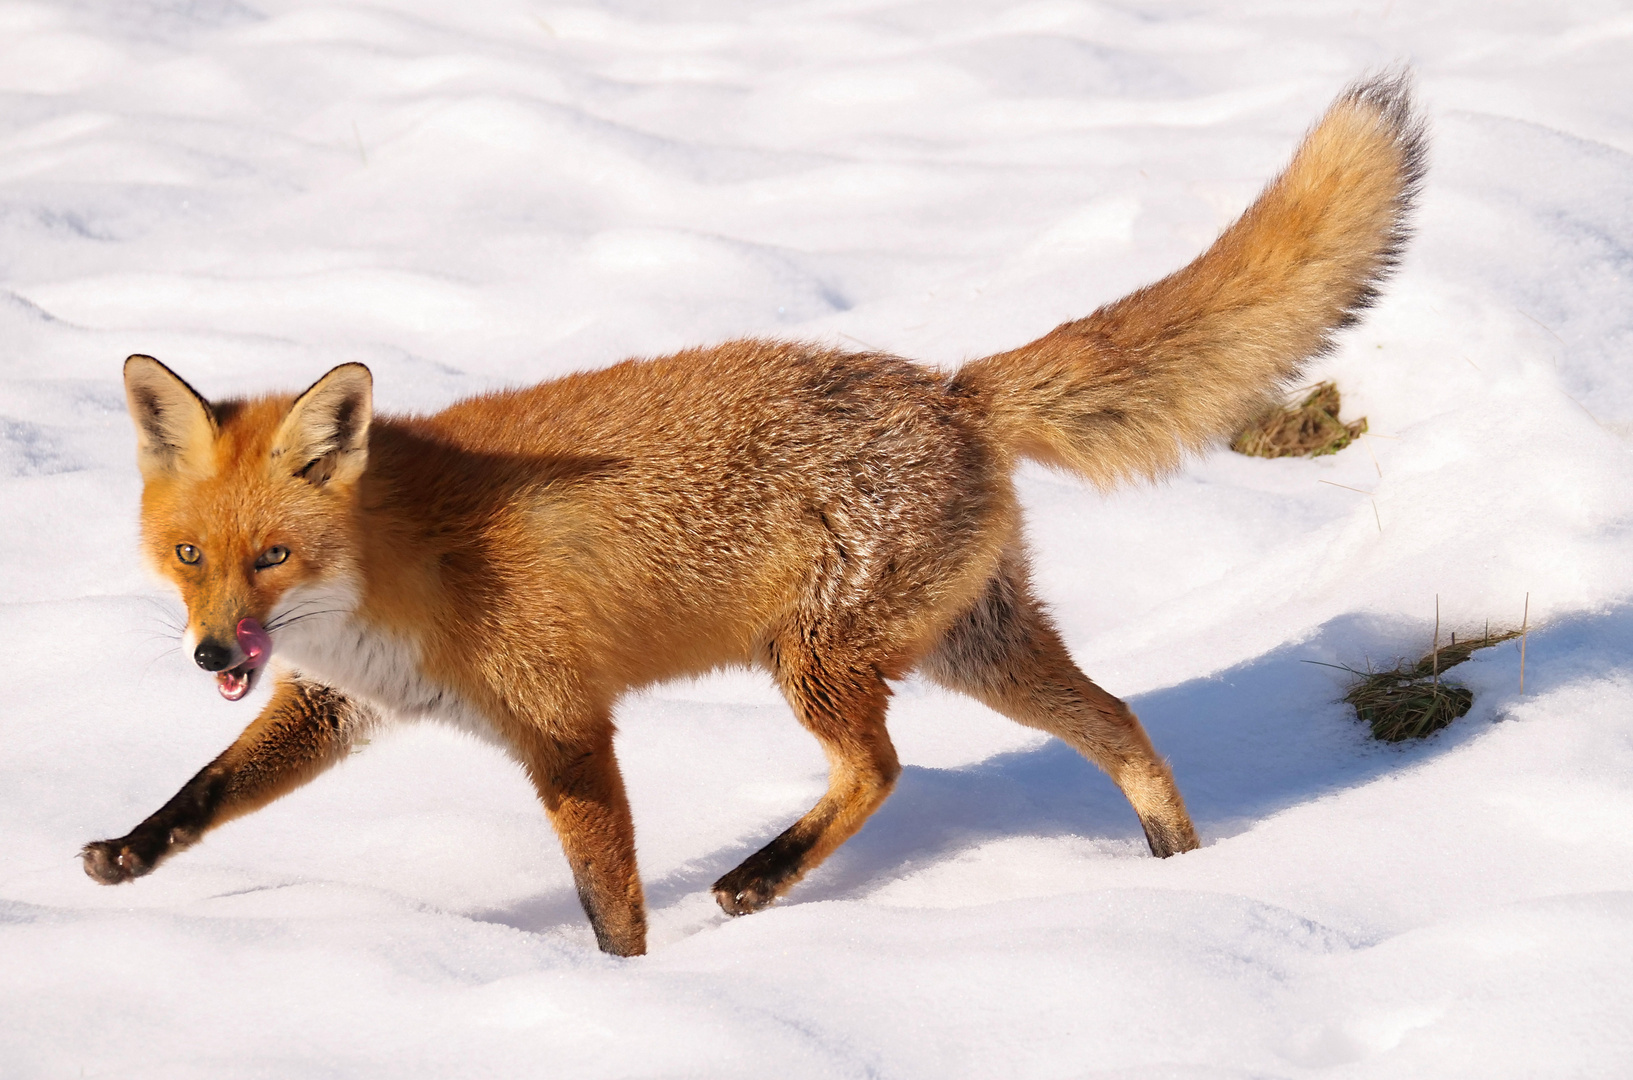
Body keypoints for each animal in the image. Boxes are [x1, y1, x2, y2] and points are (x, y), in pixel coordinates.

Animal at [82, 75, 1423, 954]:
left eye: (274, 554)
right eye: (190, 558)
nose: (211, 651)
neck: (387, 573)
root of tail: (948, 386)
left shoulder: (565, 727)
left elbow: (609, 900)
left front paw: (624, 993)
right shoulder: (336, 705)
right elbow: (209, 788)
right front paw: (126, 852)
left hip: (815, 657)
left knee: (882, 768)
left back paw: (759, 880)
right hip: (974, 644)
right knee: (1120, 722)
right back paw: (1178, 873)